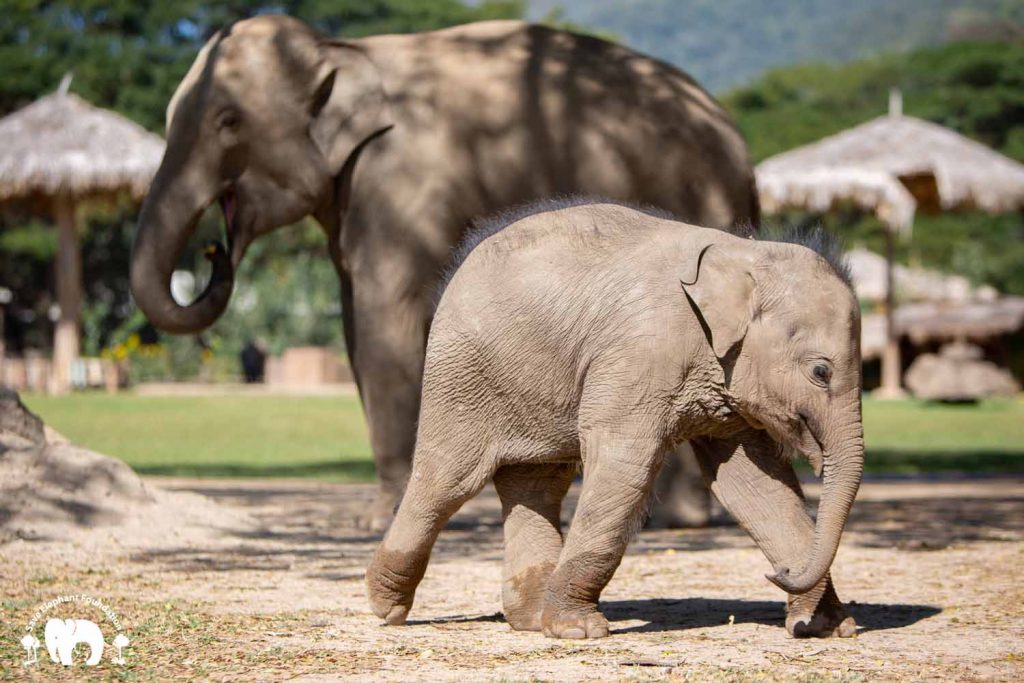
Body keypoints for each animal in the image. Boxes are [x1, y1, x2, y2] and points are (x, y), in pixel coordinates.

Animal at [132, 14, 761, 528]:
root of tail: (738, 141)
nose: (214, 249)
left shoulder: (399, 182)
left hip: (698, 200)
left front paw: (379, 521)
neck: (344, 52)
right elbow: (356, 328)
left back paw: (675, 522)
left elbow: (386, 318)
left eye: (228, 121)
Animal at [368, 200, 864, 638]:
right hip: (462, 375)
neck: (743, 253)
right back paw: (386, 607)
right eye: (821, 372)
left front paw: (827, 628)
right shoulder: (638, 356)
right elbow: (625, 466)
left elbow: (756, 486)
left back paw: (530, 619)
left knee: (538, 483)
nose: (780, 571)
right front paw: (578, 631)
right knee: (447, 480)